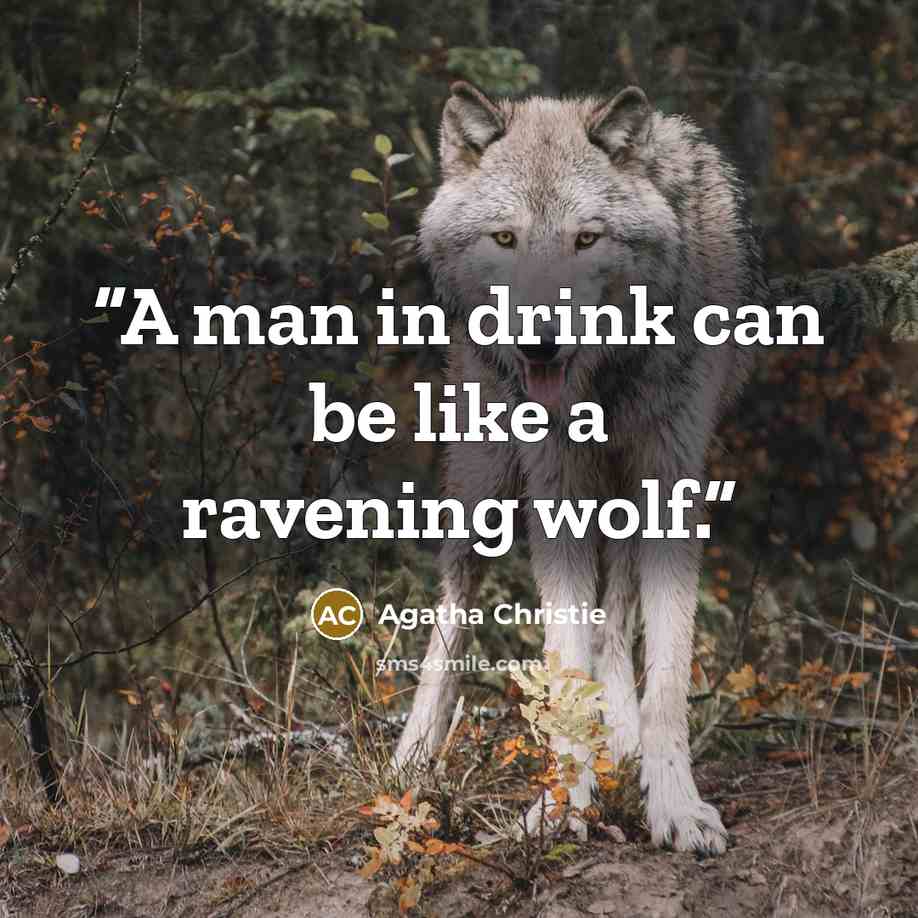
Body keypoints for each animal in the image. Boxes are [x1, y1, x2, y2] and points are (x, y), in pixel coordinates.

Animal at [392, 81, 764, 856]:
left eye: (585, 239)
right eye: (505, 238)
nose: (539, 342)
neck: (606, 378)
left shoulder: (671, 475)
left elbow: (665, 668)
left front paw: (675, 804)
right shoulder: (553, 481)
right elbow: (563, 656)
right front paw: (564, 807)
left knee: (615, 615)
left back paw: (619, 739)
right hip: (483, 481)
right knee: (454, 605)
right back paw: (413, 758)